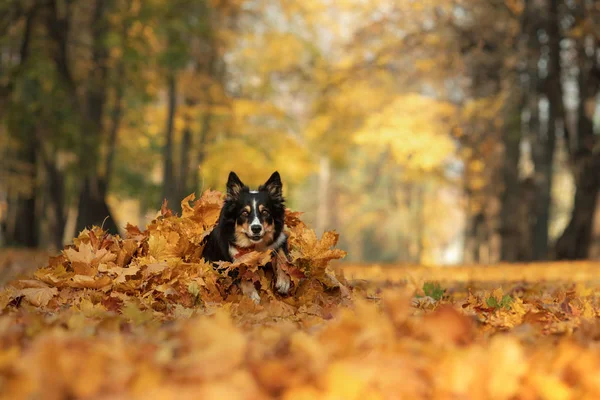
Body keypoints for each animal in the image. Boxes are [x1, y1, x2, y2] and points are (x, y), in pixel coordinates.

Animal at [203, 170, 292, 304]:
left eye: (265, 212)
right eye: (244, 213)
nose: (256, 228)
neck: (255, 246)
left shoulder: (280, 239)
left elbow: (282, 256)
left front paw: (284, 280)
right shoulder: (230, 262)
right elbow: (241, 274)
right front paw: (252, 295)